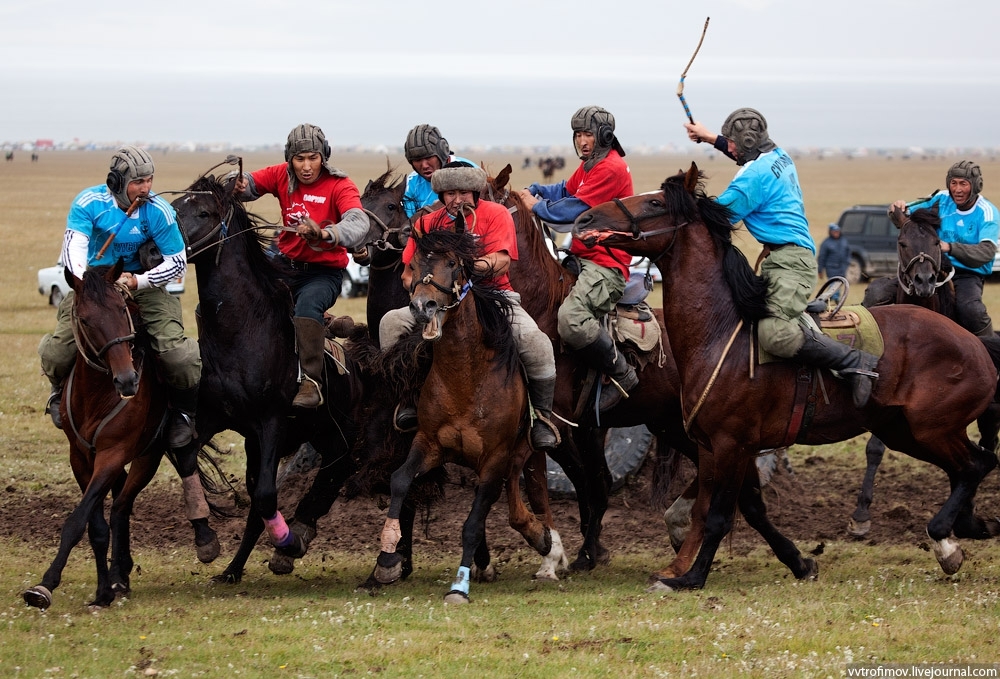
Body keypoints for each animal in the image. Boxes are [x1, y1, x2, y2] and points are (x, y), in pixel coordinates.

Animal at [22, 260, 216, 612]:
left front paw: (49, 583)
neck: (98, 394)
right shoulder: (81, 457)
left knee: (122, 505)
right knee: (117, 506)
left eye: (120, 310)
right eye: (85, 319)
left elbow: (81, 520)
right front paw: (100, 590)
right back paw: (119, 575)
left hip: (147, 456)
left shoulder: (113, 454)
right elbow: (94, 525)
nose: (127, 380)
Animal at [172, 175, 372, 584]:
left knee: (334, 473)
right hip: (263, 445)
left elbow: (266, 495)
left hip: (335, 436)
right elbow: (187, 458)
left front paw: (290, 543)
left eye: (204, 212)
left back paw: (299, 534)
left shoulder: (272, 421)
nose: (156, 246)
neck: (240, 333)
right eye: (175, 207)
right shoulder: (216, 419)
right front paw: (207, 543)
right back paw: (234, 569)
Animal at [576, 163, 1000, 588]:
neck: (720, 333)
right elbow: (727, 509)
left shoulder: (732, 445)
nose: (585, 219)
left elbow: (718, 517)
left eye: (654, 203)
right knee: (970, 466)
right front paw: (795, 561)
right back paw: (966, 530)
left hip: (931, 428)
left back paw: (945, 538)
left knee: (975, 466)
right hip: (903, 431)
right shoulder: (712, 447)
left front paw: (692, 576)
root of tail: (976, 346)